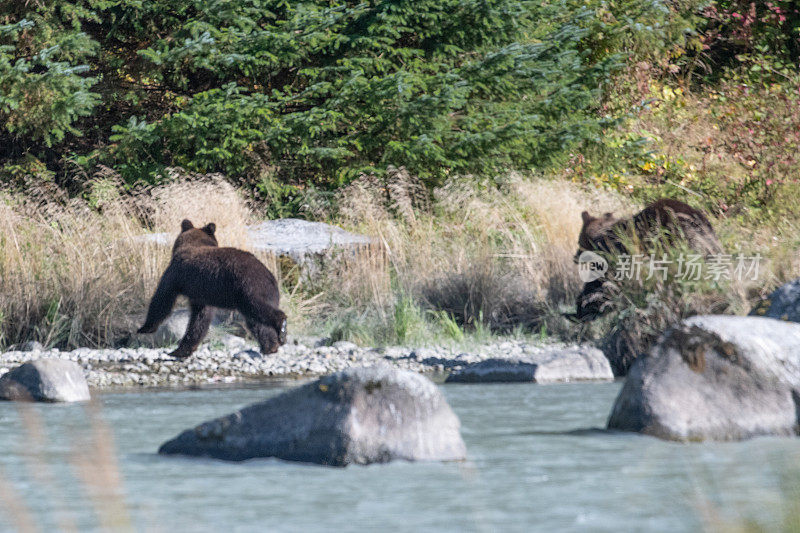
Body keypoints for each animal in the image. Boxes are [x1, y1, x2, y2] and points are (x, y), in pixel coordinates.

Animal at [138, 218, 288, 360]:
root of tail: (270, 276)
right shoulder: (201, 294)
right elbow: (200, 319)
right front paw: (180, 350)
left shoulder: (175, 273)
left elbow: (162, 298)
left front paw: (144, 328)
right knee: (256, 321)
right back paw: (270, 346)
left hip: (249, 288)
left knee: (259, 308)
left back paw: (281, 327)